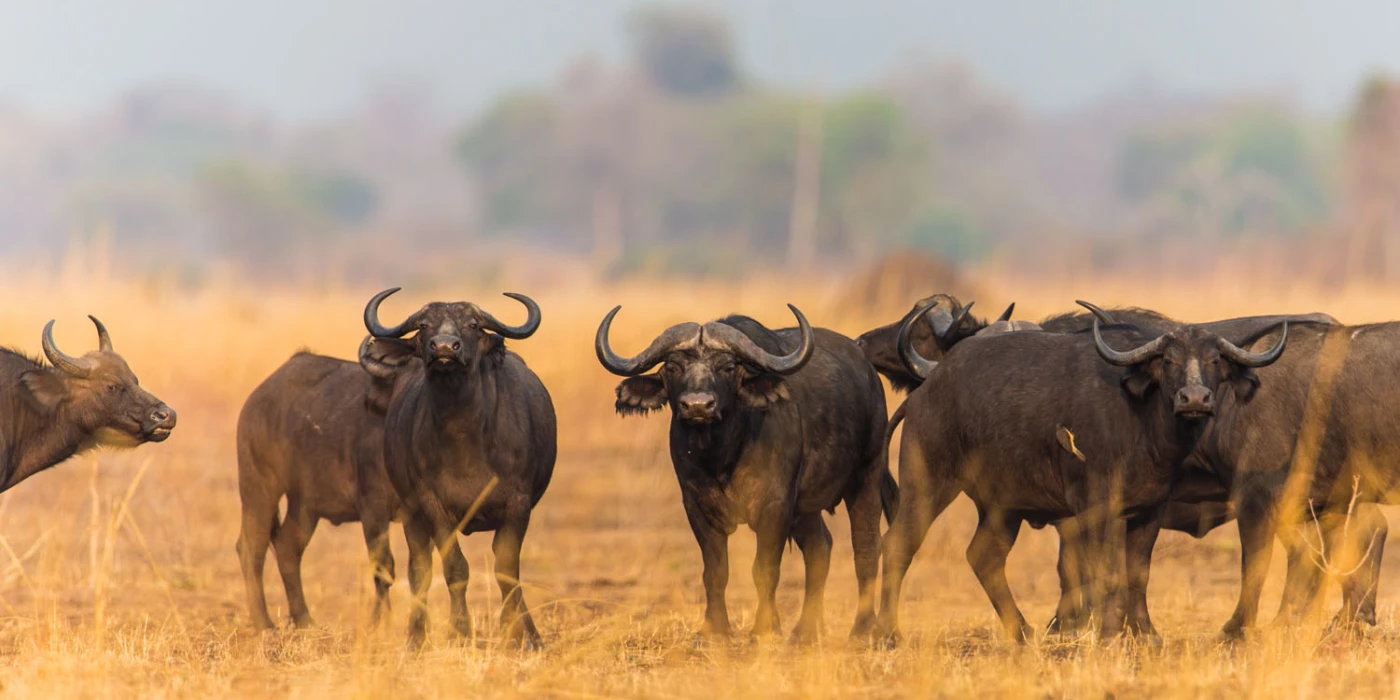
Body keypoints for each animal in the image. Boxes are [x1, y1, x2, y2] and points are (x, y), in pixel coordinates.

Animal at [364, 288, 554, 649]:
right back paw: (415, 638)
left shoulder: (518, 505)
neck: (464, 438)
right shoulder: (433, 506)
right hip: (411, 516)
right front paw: (461, 632)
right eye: (424, 325)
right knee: (420, 570)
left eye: (473, 324)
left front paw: (517, 634)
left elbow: (507, 570)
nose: (443, 348)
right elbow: (456, 569)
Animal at [596, 303, 890, 641]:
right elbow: (715, 571)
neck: (721, 454)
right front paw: (714, 628)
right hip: (806, 508)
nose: (698, 406)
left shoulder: (775, 506)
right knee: (820, 548)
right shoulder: (697, 506)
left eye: (727, 367)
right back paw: (805, 630)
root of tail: (868, 371)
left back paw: (863, 627)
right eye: (673, 367)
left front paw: (764, 627)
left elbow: (764, 568)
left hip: (866, 475)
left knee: (866, 545)